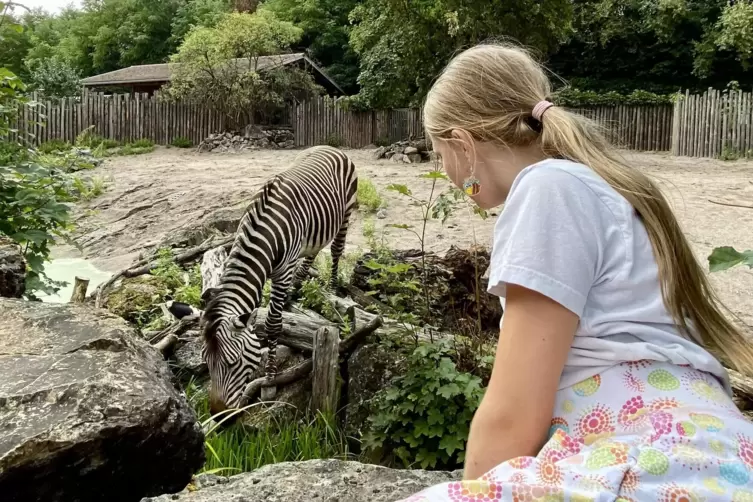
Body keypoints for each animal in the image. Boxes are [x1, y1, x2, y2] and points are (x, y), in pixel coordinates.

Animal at [200, 146, 358, 416]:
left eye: (232, 363)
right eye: (206, 364)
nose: (218, 414)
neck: (264, 234)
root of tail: (330, 147)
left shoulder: (282, 272)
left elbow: (273, 324)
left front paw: (270, 381)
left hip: (346, 212)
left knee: (336, 250)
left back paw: (333, 288)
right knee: (313, 252)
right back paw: (296, 289)